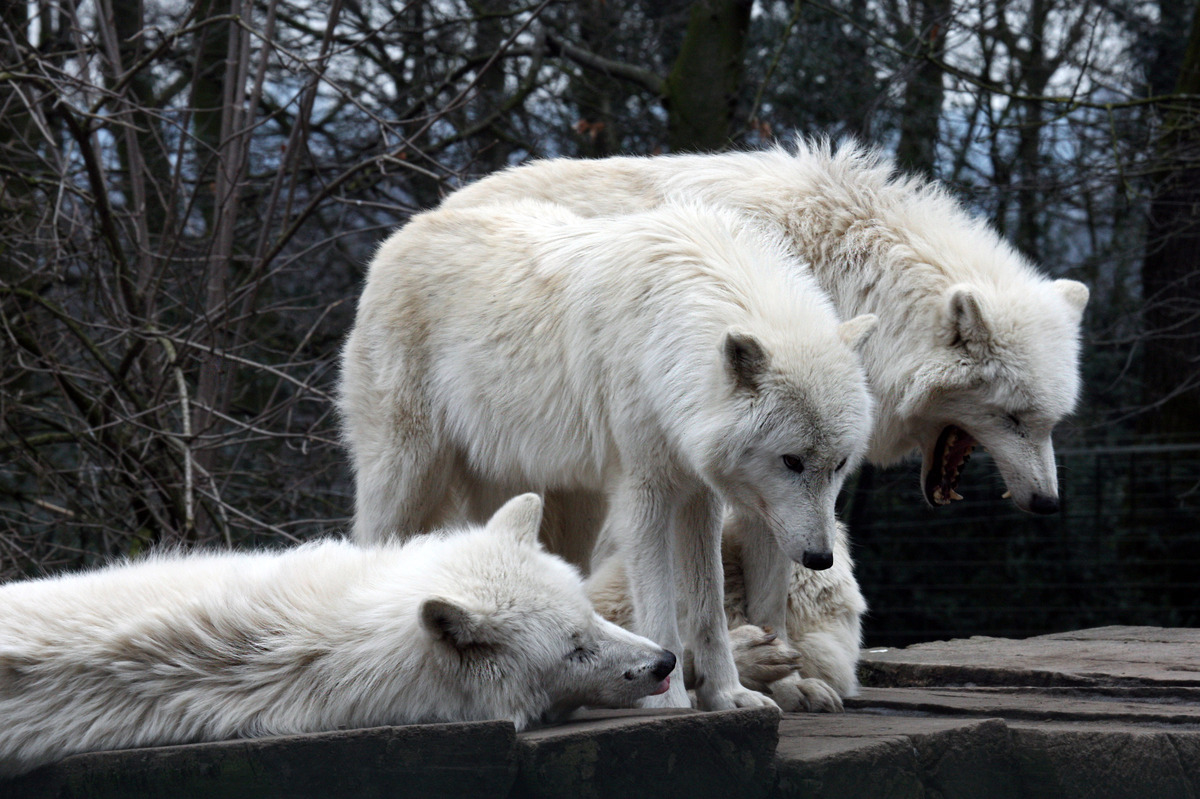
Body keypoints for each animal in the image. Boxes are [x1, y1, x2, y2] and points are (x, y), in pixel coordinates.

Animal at [339, 200, 877, 711]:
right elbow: (661, 609)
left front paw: (729, 695)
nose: (820, 558)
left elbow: (708, 609)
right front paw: (673, 701)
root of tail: (403, 233)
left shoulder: (698, 495)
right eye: (791, 461)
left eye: (839, 465)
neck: (667, 343)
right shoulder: (644, 494)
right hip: (406, 476)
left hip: (558, 500)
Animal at [439, 139, 1089, 647]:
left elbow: (776, 583)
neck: (846, 276)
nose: (1048, 504)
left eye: (1050, 422)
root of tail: (445, 204)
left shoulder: (788, 485)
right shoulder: (756, 472)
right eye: (1012, 418)